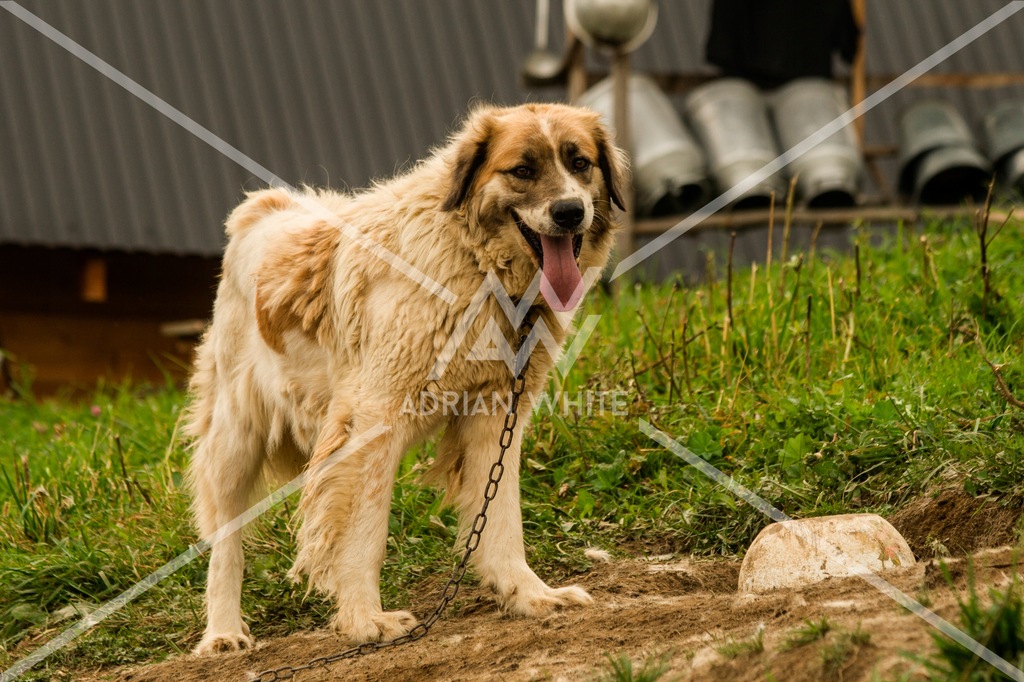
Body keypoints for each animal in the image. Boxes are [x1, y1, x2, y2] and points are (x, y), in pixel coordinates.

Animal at [187, 99, 626, 647]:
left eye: (580, 163)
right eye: (523, 170)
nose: (569, 212)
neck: (474, 262)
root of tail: (265, 209)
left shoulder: (497, 414)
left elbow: (502, 516)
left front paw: (528, 594)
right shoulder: (374, 419)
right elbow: (364, 532)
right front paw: (363, 619)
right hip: (236, 436)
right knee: (225, 541)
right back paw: (223, 632)